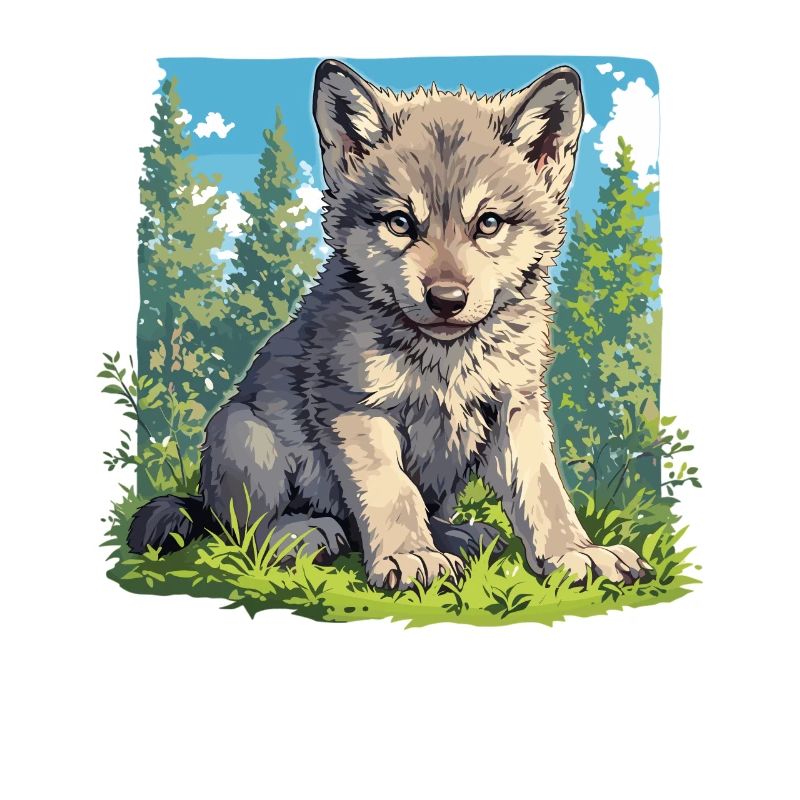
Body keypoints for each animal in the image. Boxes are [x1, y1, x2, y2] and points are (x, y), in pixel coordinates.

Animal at [129, 59, 651, 590]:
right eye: (400, 223)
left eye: (488, 224)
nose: (446, 300)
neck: (446, 359)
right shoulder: (359, 411)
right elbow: (392, 492)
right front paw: (410, 556)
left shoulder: (517, 407)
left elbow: (544, 492)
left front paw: (575, 554)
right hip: (242, 433)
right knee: (243, 530)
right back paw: (304, 534)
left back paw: (457, 536)